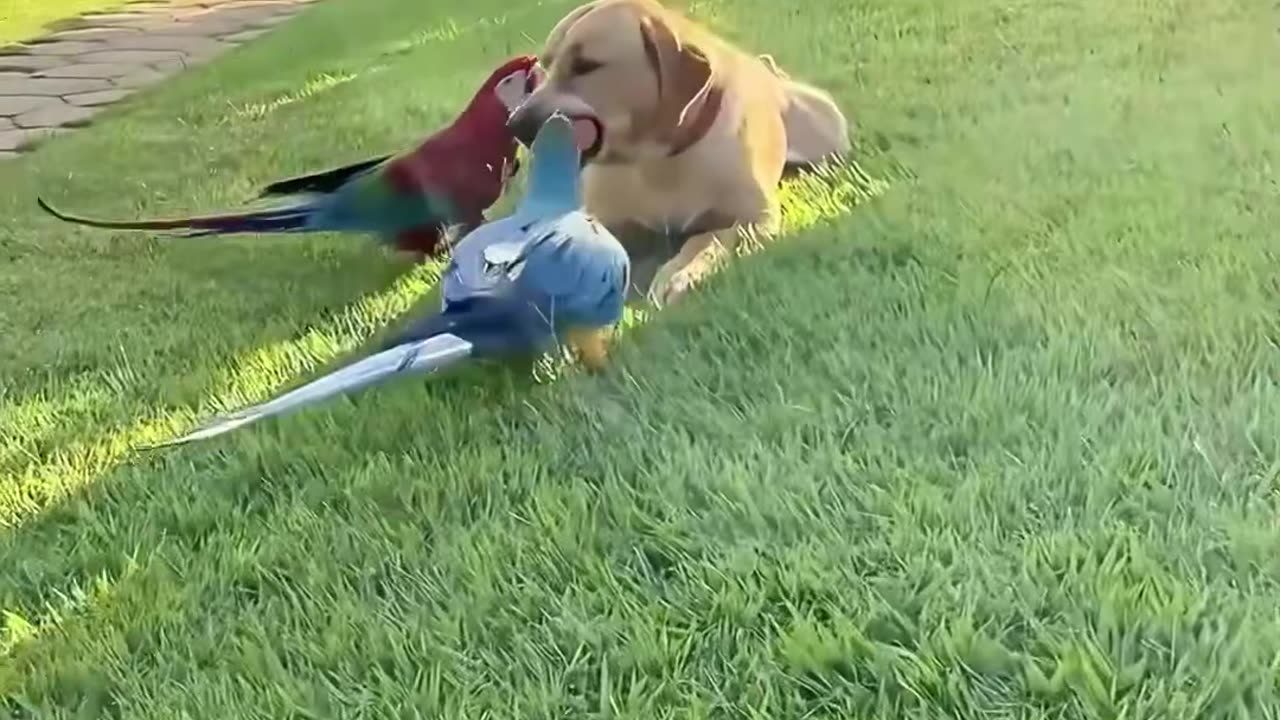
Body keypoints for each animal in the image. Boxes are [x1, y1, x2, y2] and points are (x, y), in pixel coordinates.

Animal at [506, 0, 849, 304]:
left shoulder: (754, 219)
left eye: (586, 65)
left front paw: (682, 272)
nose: (514, 124)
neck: (657, 160)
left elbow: (709, 237)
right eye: (544, 66)